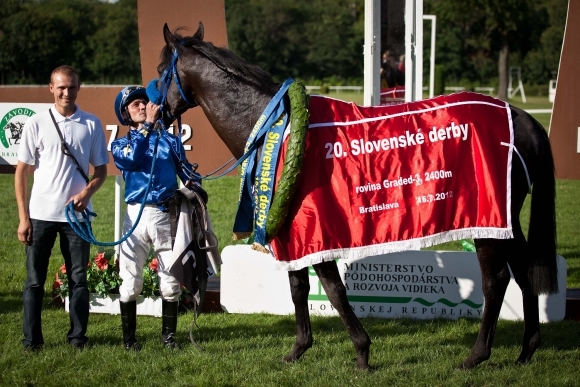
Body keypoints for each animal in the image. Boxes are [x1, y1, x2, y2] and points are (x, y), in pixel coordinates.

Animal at [153, 22, 556, 372]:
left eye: (160, 70)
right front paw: (300, 349)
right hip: (506, 222)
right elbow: (302, 288)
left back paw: (476, 356)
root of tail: (524, 120)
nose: (155, 113)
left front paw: (360, 352)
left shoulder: (309, 230)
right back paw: (526, 350)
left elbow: (330, 289)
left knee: (496, 281)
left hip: (488, 222)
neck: (277, 128)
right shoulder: (295, 233)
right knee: (523, 271)